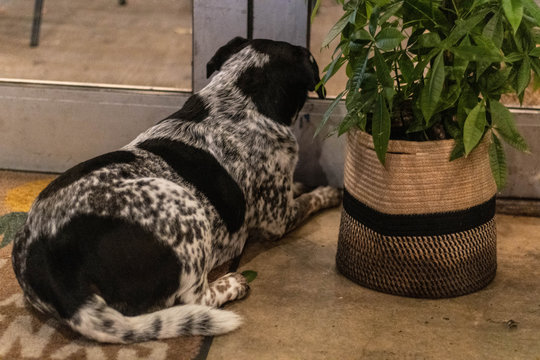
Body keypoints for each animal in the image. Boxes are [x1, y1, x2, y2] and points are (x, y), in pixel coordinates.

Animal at [11, 36, 342, 344]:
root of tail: (60, 274)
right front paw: (329, 193)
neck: (238, 104)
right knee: (195, 299)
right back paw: (232, 284)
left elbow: (298, 190)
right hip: (186, 208)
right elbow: (310, 200)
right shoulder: (279, 218)